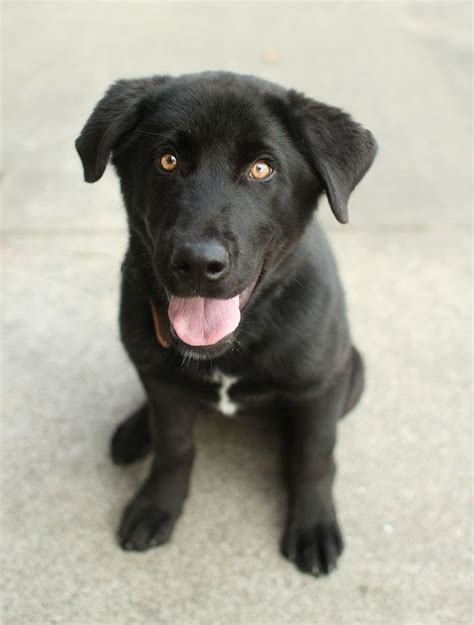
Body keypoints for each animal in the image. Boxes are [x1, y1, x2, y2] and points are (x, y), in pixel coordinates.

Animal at [75, 72, 378, 576]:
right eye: (168, 160)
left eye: (262, 169)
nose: (198, 263)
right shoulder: (164, 386)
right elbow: (174, 447)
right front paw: (157, 505)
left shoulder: (320, 386)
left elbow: (315, 456)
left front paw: (313, 525)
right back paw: (136, 431)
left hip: (353, 371)